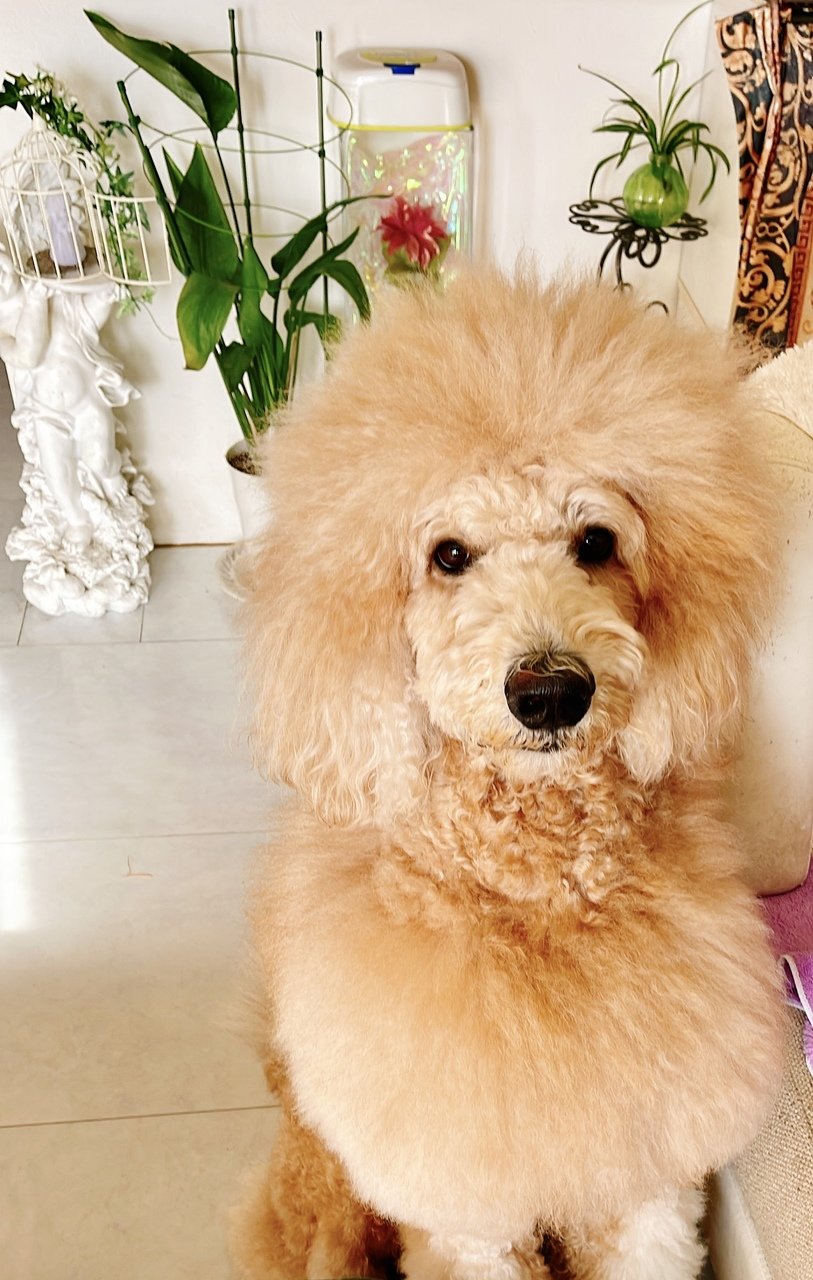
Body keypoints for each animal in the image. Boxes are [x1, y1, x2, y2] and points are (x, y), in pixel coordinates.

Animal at [232, 268, 785, 1280]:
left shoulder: (647, 1172)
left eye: (596, 542)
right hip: (325, 1196)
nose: (549, 693)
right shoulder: (461, 1202)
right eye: (448, 555)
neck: (535, 888)